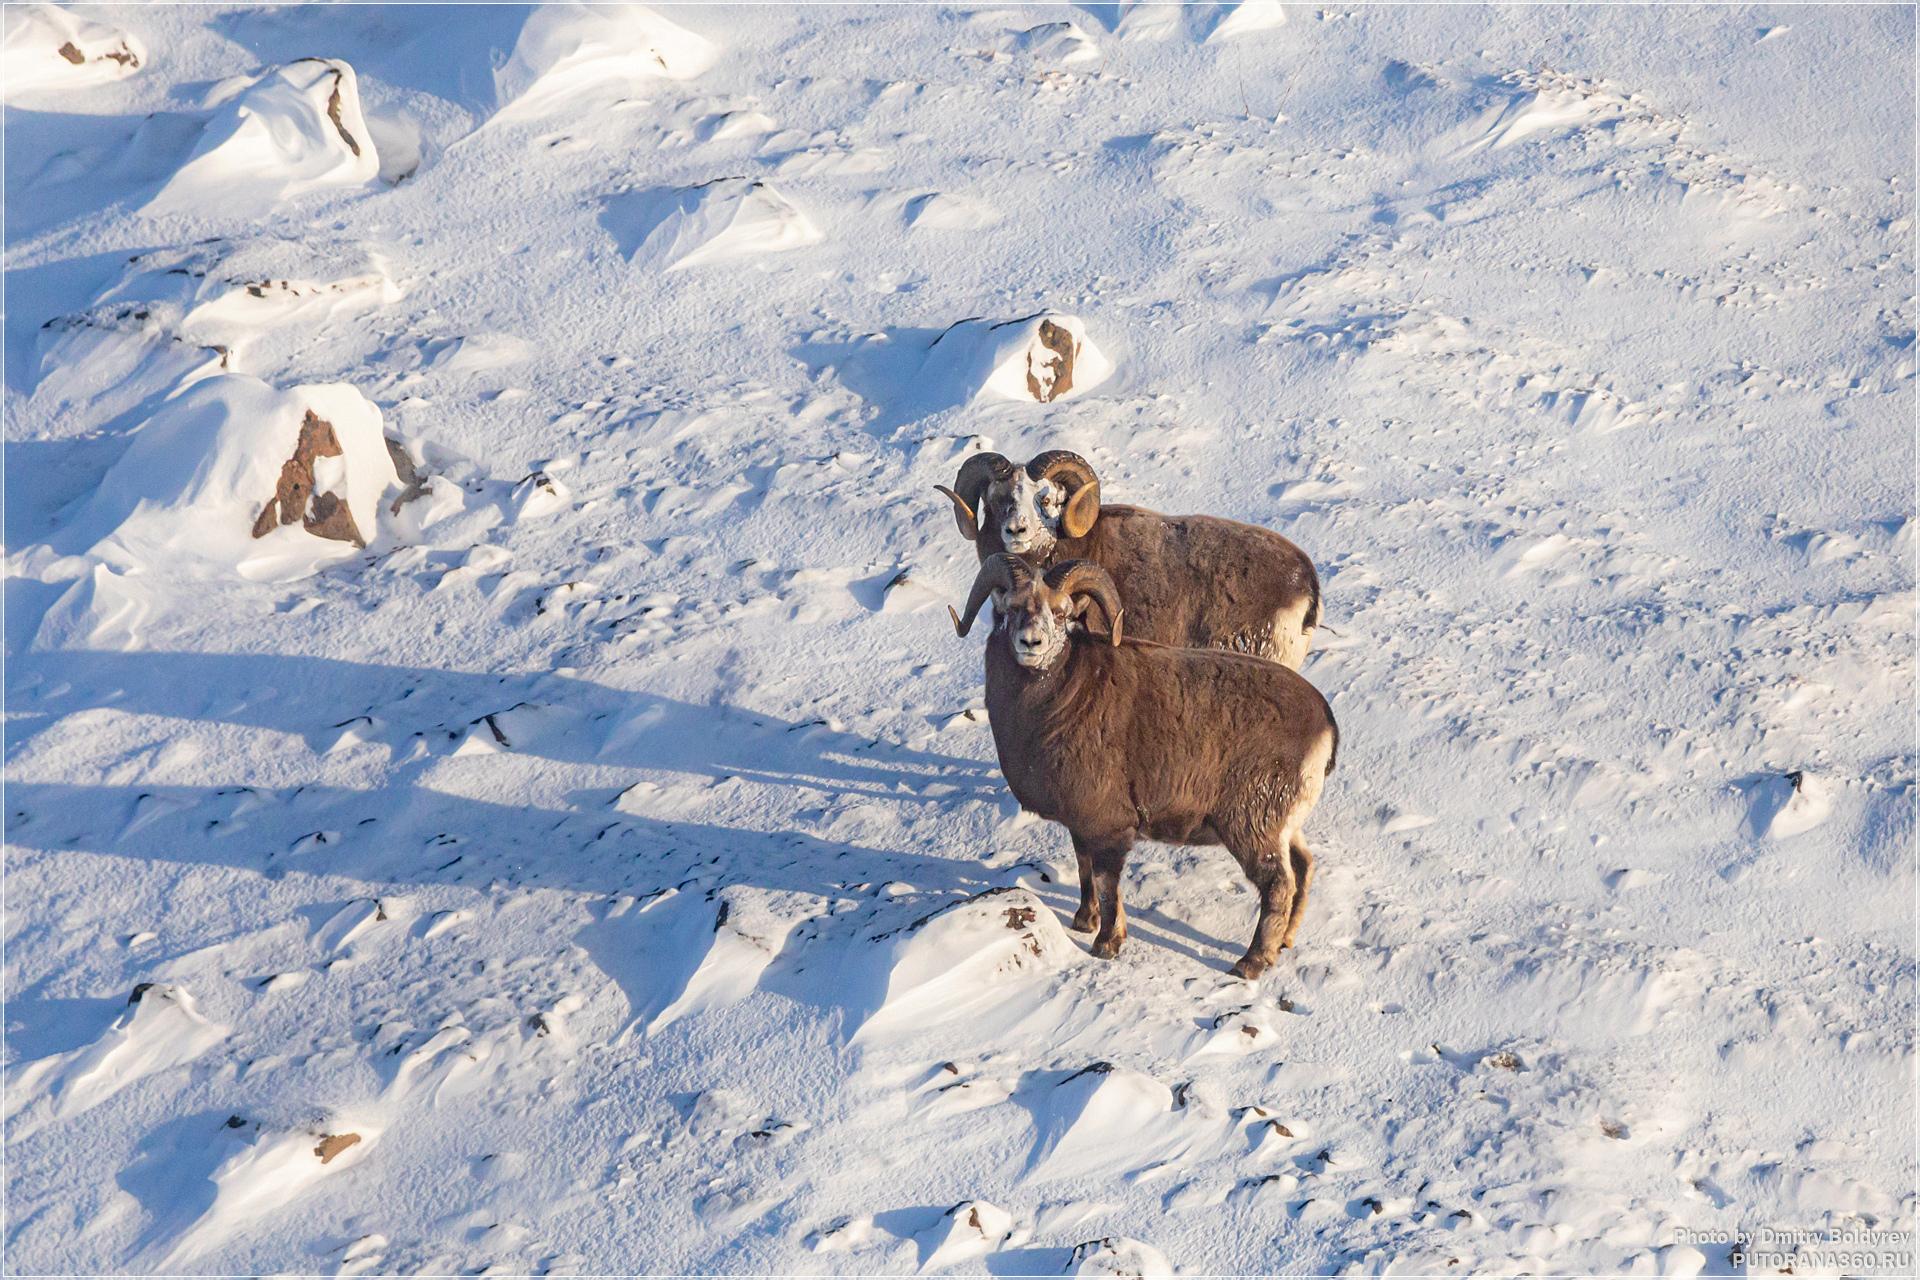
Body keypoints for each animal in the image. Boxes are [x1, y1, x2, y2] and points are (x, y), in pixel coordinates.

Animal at [950, 553, 1338, 978]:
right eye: (1011, 608)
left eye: (1061, 612)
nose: (1031, 643)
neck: (1055, 704)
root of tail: (1324, 723)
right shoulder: (1081, 826)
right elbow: (1084, 870)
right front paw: (1084, 921)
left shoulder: (1109, 829)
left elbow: (1107, 885)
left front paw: (1106, 943)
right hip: (1285, 826)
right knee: (1303, 867)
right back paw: (1284, 942)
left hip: (1254, 828)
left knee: (1278, 885)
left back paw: (1249, 963)